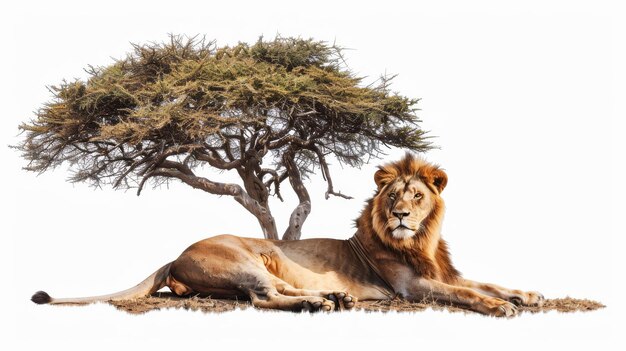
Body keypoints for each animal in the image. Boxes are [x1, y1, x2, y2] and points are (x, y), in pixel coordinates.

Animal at [33, 155, 540, 318]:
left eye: (416, 195)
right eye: (394, 194)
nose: (399, 214)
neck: (420, 242)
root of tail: (175, 254)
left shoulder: (444, 272)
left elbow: (482, 282)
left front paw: (526, 295)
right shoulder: (411, 287)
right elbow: (464, 293)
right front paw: (501, 308)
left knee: (275, 289)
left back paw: (336, 297)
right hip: (242, 259)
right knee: (264, 298)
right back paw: (318, 304)